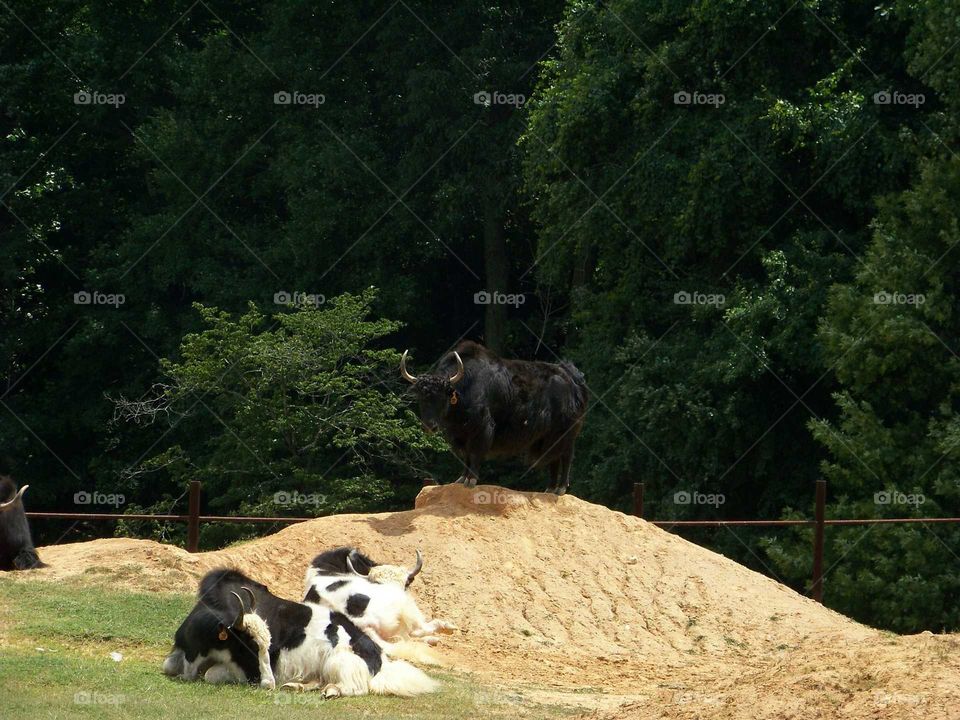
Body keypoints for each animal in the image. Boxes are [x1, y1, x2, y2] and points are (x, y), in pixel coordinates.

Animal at [164, 568, 437, 697]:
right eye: (248, 644)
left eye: (269, 648)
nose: (268, 683)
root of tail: (379, 658)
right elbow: (168, 666)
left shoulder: (243, 670)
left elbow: (212, 674)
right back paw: (296, 686)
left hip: (338, 660)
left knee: (356, 687)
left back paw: (331, 691)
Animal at [400, 340, 588, 495]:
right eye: (421, 398)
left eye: (442, 397)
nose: (429, 426)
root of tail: (572, 378)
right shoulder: (461, 433)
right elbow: (466, 456)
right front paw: (461, 479)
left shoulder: (481, 427)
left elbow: (475, 452)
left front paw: (471, 480)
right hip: (549, 437)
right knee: (554, 458)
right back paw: (550, 489)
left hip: (566, 432)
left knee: (566, 456)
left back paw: (561, 488)